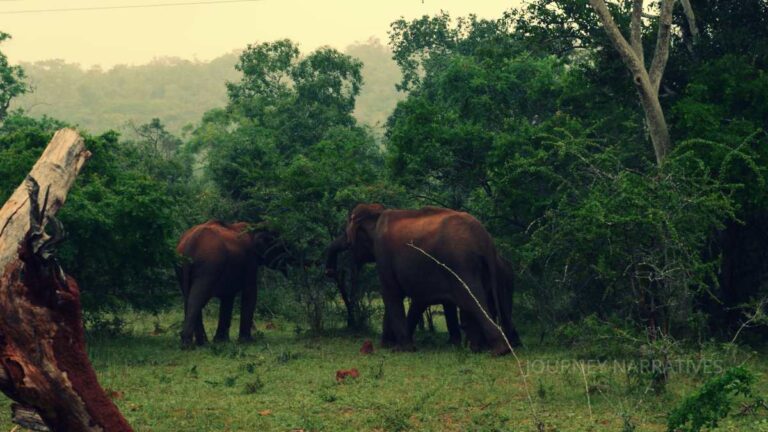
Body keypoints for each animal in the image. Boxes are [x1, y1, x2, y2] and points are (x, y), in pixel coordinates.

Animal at [344, 204, 518, 355]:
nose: (329, 270)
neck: (379, 213)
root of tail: (486, 239)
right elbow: (416, 299)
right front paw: (391, 345)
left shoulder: (383, 253)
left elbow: (391, 293)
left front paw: (400, 349)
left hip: (462, 264)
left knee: (471, 301)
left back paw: (499, 351)